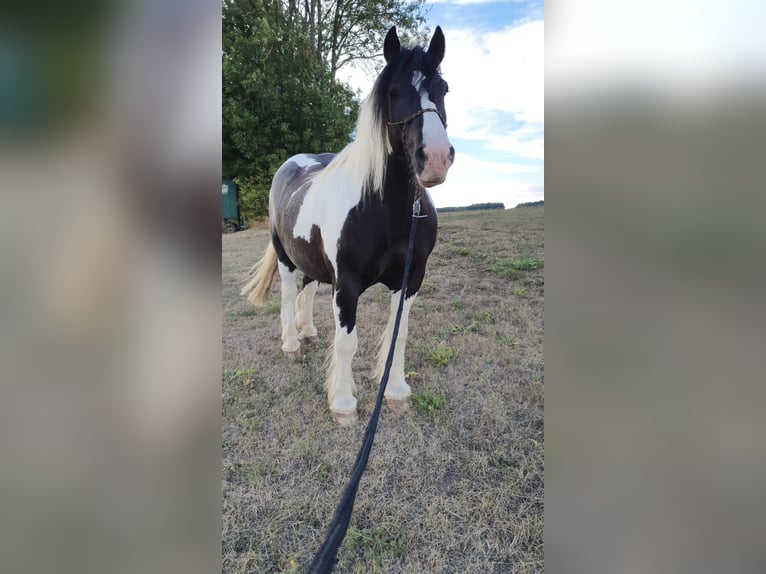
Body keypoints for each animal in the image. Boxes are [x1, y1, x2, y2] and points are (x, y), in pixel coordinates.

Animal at [243, 24, 452, 426]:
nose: (434, 158)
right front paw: (342, 402)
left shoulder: (412, 278)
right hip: (285, 257)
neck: (387, 210)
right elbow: (346, 342)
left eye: (443, 89)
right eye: (394, 91)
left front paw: (395, 391)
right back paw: (291, 343)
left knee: (308, 288)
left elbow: (399, 335)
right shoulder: (348, 283)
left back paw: (308, 332)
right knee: (289, 295)